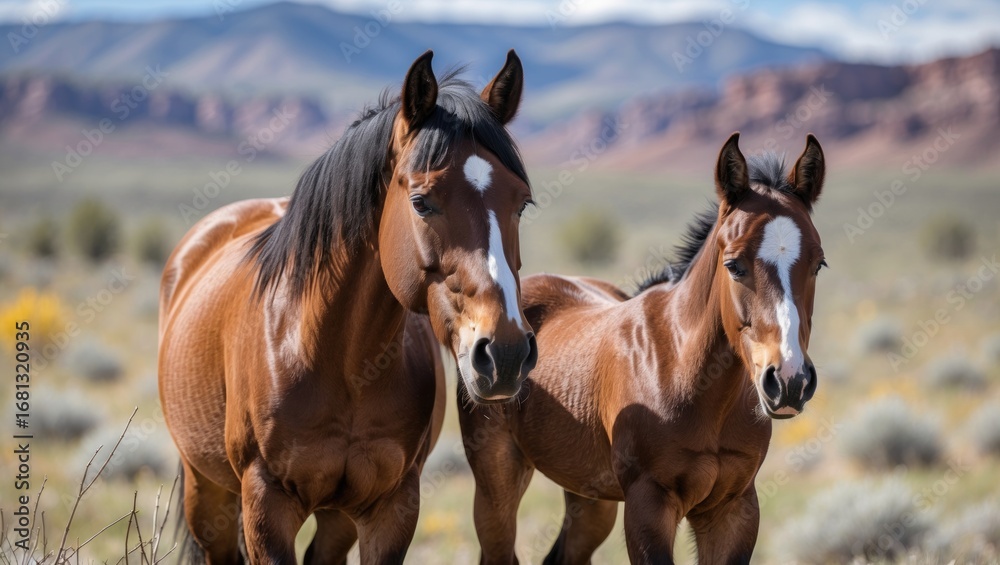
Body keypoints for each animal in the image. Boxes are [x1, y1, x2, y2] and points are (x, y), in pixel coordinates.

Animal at [158, 50, 537, 564]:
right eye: (421, 202)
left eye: (522, 204)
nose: (506, 353)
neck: (335, 358)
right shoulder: (265, 504)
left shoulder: (391, 507)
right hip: (207, 491)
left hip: (335, 516)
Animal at [459, 133, 827, 564]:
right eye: (734, 265)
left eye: (818, 264)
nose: (789, 381)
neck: (683, 370)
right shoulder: (647, 507)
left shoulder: (734, 509)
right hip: (497, 482)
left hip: (590, 497)